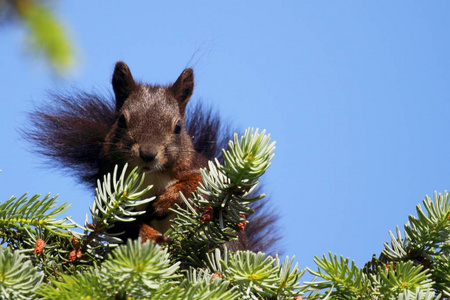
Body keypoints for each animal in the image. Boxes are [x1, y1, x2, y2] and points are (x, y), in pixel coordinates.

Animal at [24, 62, 280, 252]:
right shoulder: (108, 192)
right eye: (121, 120)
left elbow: (203, 186)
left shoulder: (202, 169)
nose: (148, 154)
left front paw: (168, 200)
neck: (151, 177)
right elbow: (123, 226)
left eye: (178, 127)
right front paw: (151, 238)